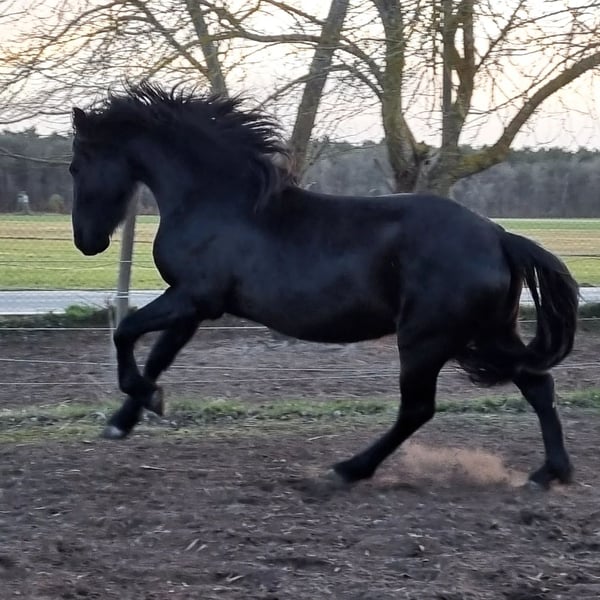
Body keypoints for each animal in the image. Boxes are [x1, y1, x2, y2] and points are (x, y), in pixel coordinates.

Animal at [70, 82, 578, 488]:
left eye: (76, 166)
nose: (86, 242)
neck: (218, 201)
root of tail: (499, 237)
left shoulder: (191, 297)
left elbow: (125, 333)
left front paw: (145, 403)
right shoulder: (195, 307)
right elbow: (157, 357)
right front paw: (127, 418)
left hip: (427, 339)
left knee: (418, 409)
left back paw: (347, 470)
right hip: (487, 333)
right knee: (538, 385)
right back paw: (549, 473)